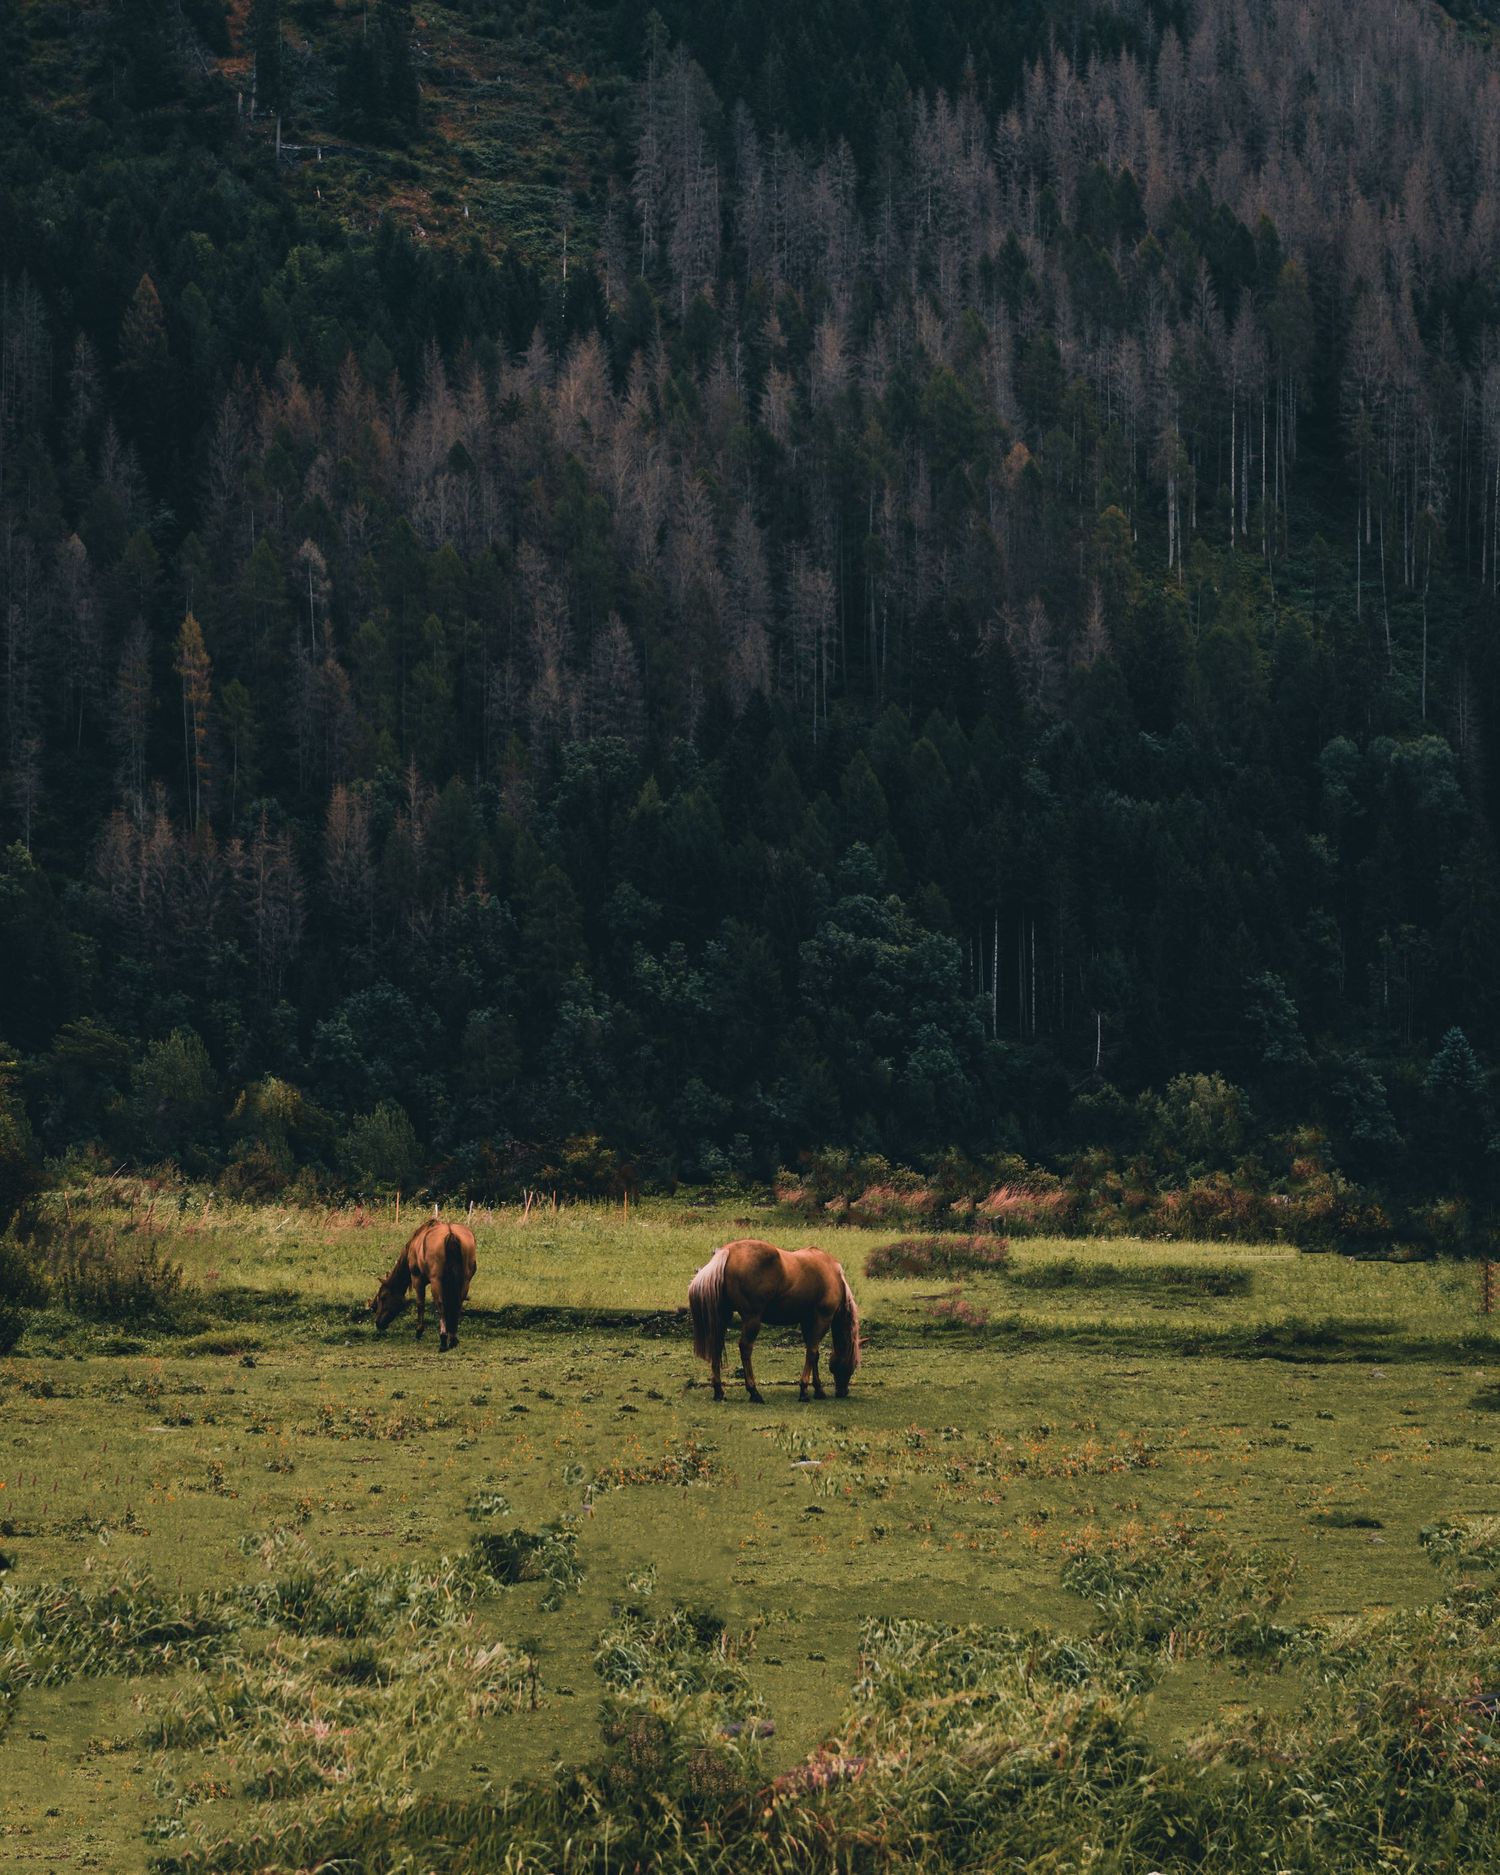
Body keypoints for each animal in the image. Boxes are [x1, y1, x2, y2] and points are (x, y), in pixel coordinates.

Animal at [369, 1216, 477, 1352]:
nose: (378, 1322)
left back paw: (443, 1340)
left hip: (436, 1281)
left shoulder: (417, 1279)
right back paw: (453, 1339)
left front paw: (419, 1331)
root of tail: (451, 1233)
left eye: (383, 1297)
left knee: (440, 1305)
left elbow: (420, 1303)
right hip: (465, 1280)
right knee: (458, 1303)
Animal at [687, 1239, 861, 1403]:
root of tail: (727, 1251)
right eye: (852, 1365)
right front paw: (804, 1391)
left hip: (724, 1316)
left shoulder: (807, 1321)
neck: (833, 1275)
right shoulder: (822, 1319)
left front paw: (819, 1390)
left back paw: (719, 1392)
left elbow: (815, 1354)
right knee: (745, 1348)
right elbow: (812, 1353)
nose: (843, 1392)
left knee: (716, 1346)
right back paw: (754, 1392)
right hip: (752, 1318)